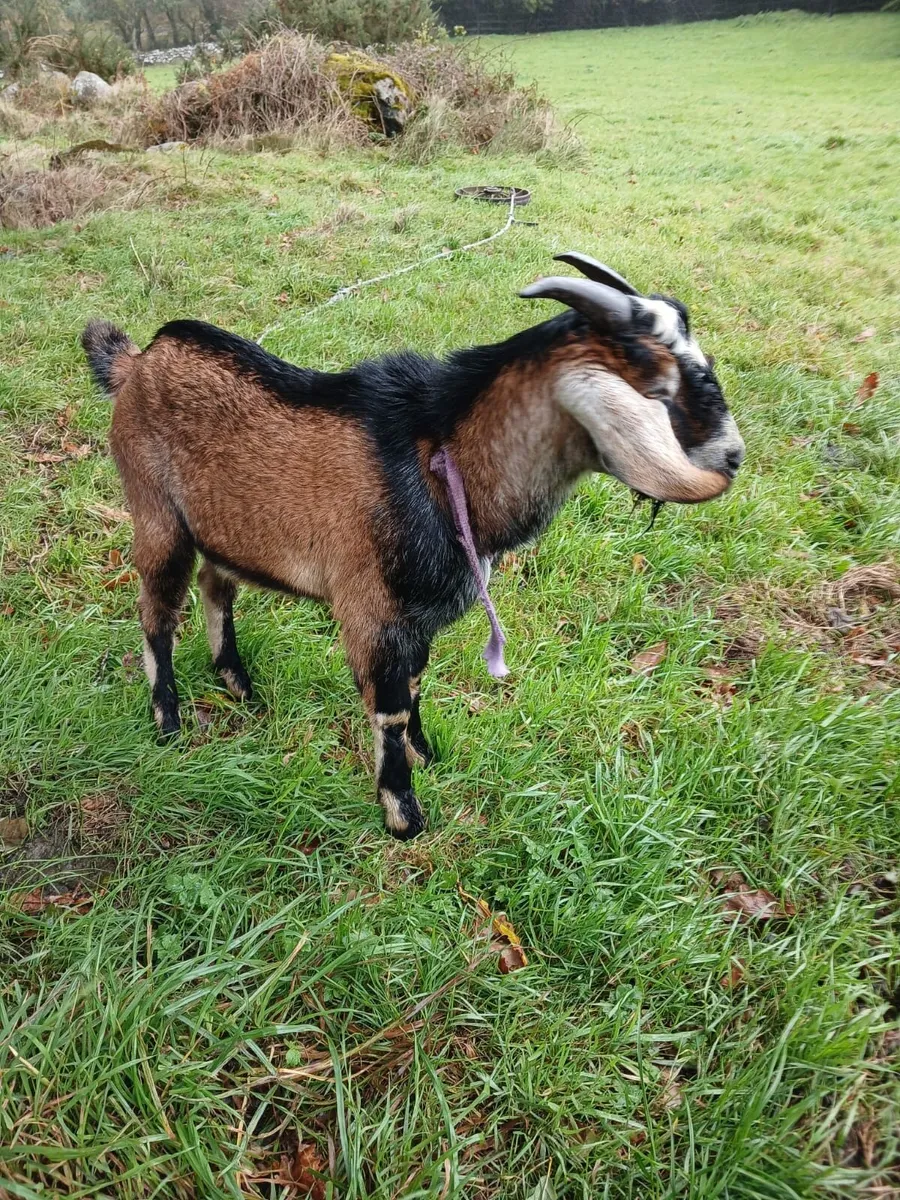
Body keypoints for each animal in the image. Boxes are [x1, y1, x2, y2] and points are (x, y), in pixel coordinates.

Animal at [82, 253, 744, 840]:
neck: (443, 461)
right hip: (155, 509)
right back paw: (168, 720)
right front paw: (404, 815)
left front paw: (428, 753)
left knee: (216, 587)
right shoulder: (372, 613)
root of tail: (137, 362)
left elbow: (419, 685)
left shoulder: (418, 618)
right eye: (660, 375)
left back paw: (238, 683)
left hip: (225, 526)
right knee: (158, 612)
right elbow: (391, 708)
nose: (733, 455)